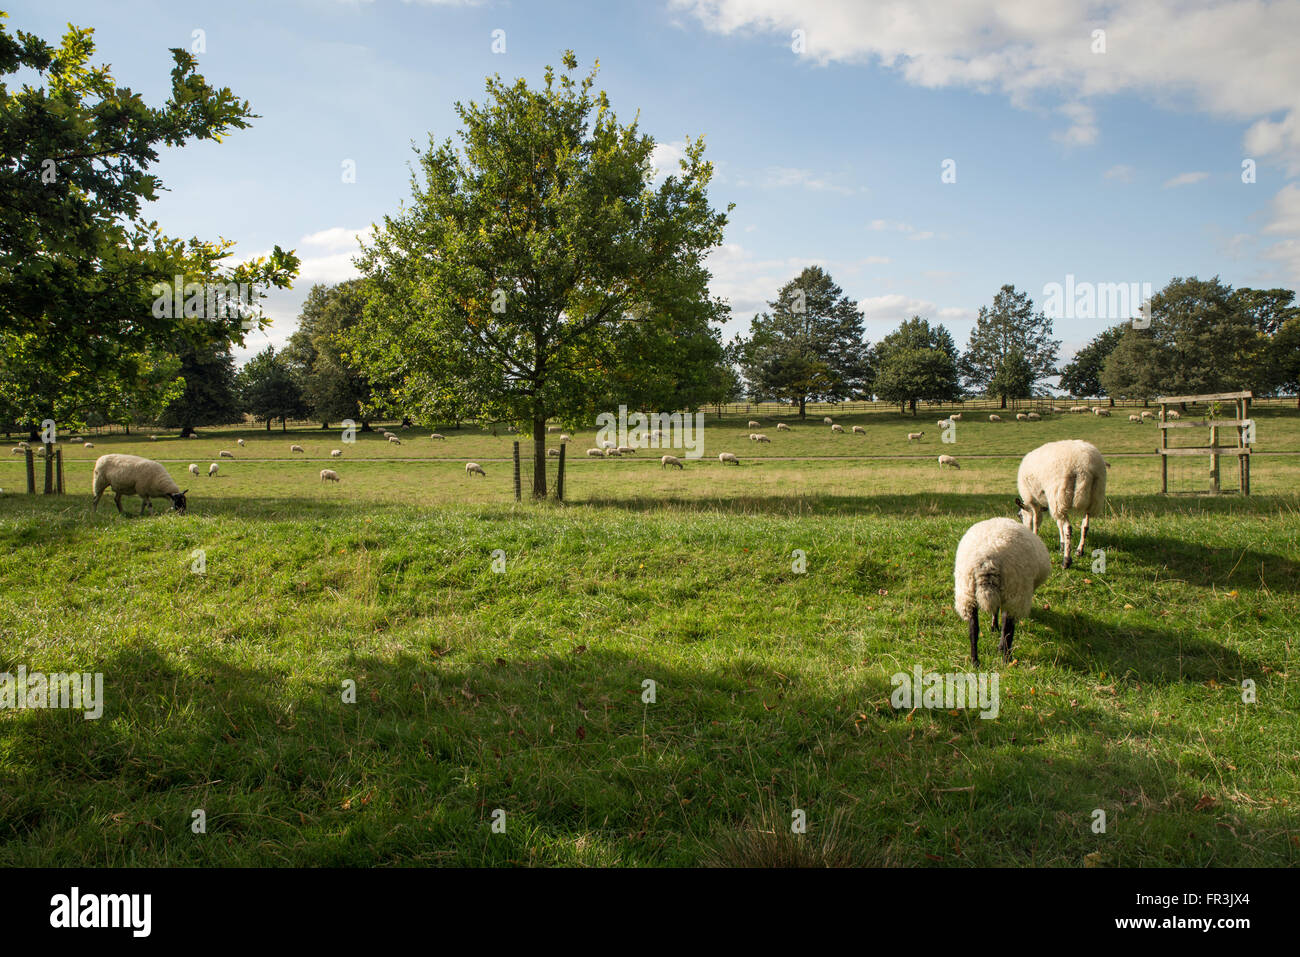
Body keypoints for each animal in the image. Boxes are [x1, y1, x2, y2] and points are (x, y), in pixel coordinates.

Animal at [954, 517, 1052, 666]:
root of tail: (987, 561)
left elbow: (995, 610)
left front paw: (994, 626)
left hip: (967, 592)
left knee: (973, 628)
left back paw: (975, 661)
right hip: (1015, 591)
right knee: (1008, 628)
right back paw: (1006, 658)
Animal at [1015, 439, 1107, 569]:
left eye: (1020, 516)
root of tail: (1085, 465)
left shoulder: (1033, 499)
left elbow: (1036, 521)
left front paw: (1035, 536)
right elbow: (1058, 523)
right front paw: (1062, 544)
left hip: (1059, 494)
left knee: (1068, 528)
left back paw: (1066, 561)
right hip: (1094, 496)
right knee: (1085, 525)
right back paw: (1079, 551)